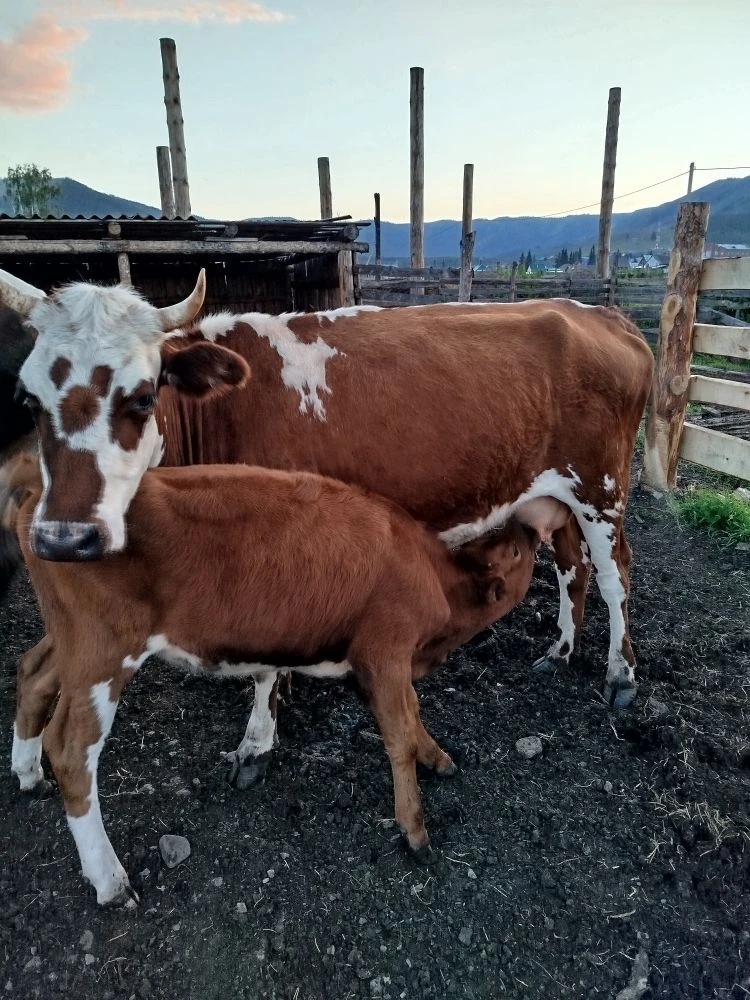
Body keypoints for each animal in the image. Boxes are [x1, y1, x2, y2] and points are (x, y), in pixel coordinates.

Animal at [0, 267, 654, 789]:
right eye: (28, 400)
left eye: (140, 397)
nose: (64, 539)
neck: (224, 413)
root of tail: (598, 313)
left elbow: (265, 665)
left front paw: (257, 743)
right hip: (555, 493)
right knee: (572, 567)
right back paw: (561, 650)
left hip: (601, 486)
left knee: (616, 573)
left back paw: (621, 674)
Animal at [6, 450, 567, 906]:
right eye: (517, 553)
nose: (534, 525)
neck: (432, 575)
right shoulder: (385, 651)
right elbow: (399, 734)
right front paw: (415, 829)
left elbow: (411, 715)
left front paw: (437, 756)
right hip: (103, 655)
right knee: (72, 748)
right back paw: (109, 880)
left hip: (72, 643)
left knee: (33, 673)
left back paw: (27, 772)